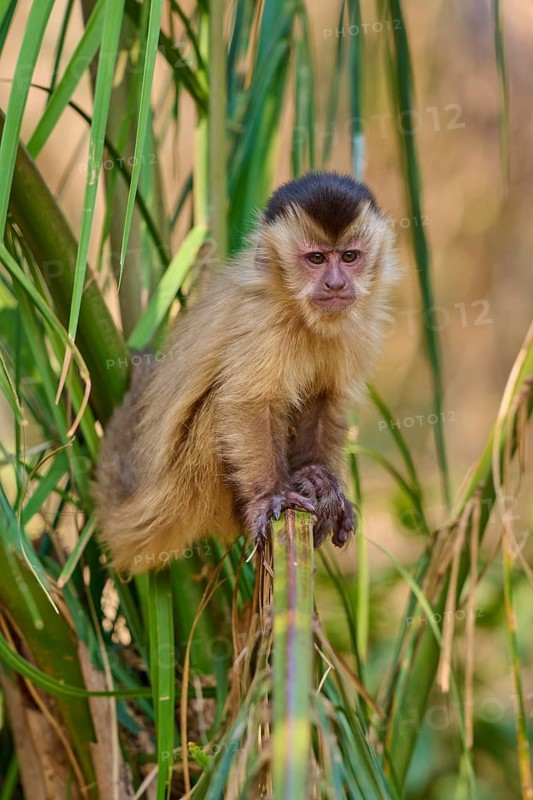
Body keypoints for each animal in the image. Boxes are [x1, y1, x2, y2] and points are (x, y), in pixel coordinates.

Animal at [94, 171, 398, 574]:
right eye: (316, 258)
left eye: (349, 256)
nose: (336, 283)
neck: (298, 312)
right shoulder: (265, 320)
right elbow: (248, 403)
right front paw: (270, 494)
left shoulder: (359, 327)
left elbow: (325, 400)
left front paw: (317, 476)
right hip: (193, 484)